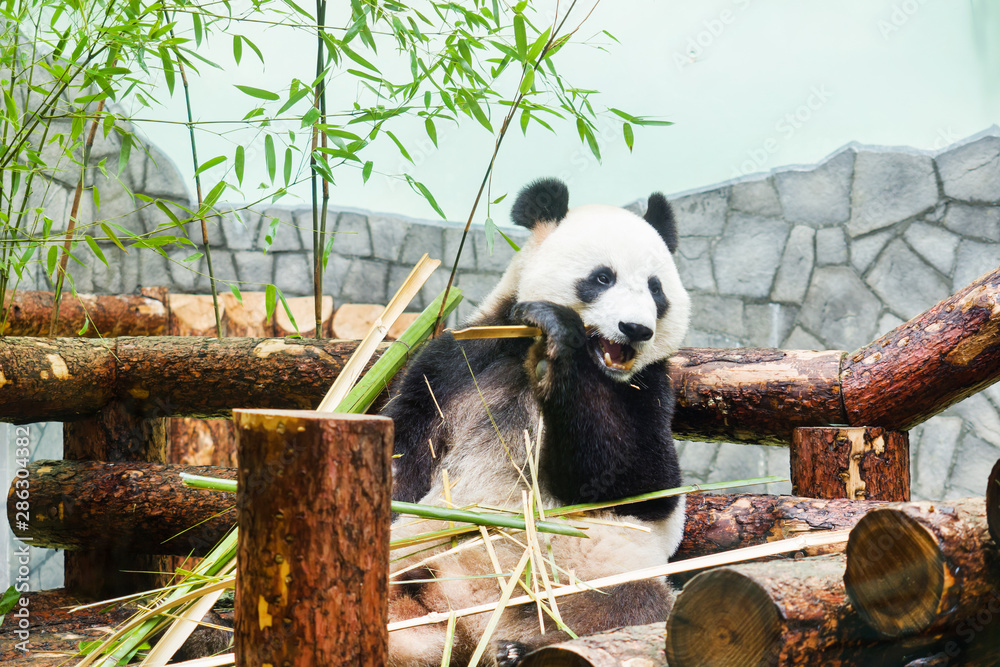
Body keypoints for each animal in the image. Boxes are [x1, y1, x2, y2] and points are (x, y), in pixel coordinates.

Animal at [383, 178, 691, 666]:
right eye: (602, 277)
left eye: (656, 289)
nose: (636, 329)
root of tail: (470, 627)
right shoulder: (457, 360)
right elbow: (408, 447)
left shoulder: (650, 387)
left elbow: (645, 487)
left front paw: (562, 338)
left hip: (590, 571)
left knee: (637, 605)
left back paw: (521, 648)